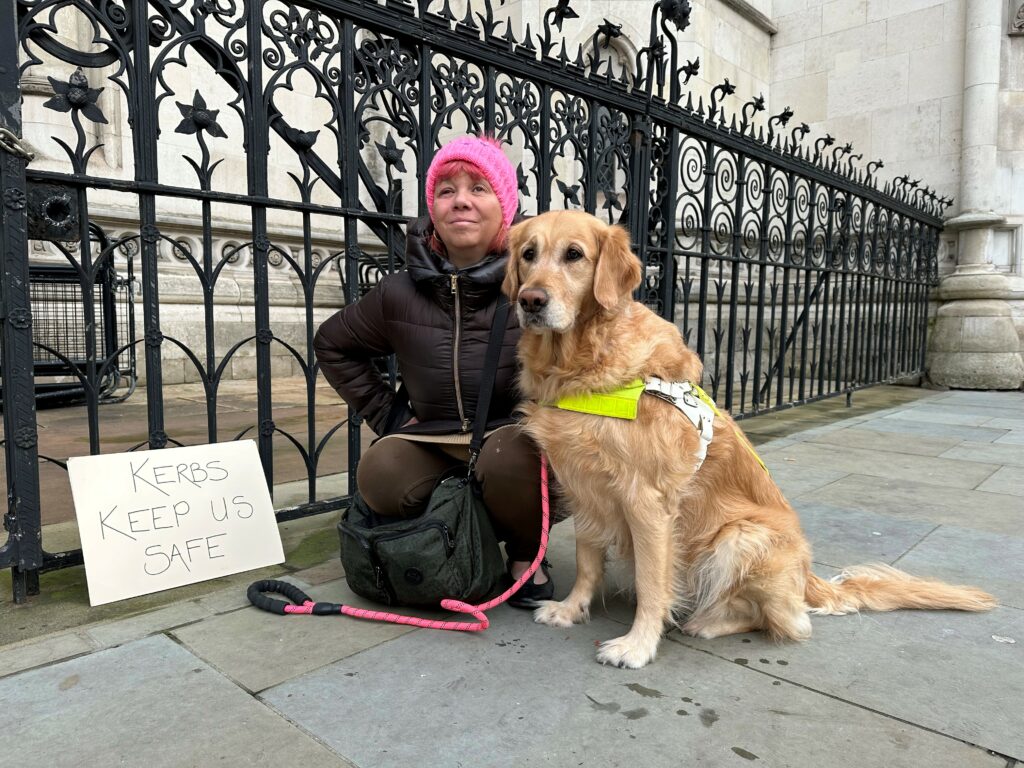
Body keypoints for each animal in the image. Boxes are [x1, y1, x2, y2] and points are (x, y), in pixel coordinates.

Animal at [501, 210, 991, 667]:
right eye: (528, 254)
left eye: (574, 255)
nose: (531, 300)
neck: (580, 364)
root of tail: (808, 575)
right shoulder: (583, 487)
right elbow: (587, 562)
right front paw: (570, 610)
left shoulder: (648, 500)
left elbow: (653, 583)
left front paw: (638, 645)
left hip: (740, 537)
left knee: (788, 622)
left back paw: (708, 622)